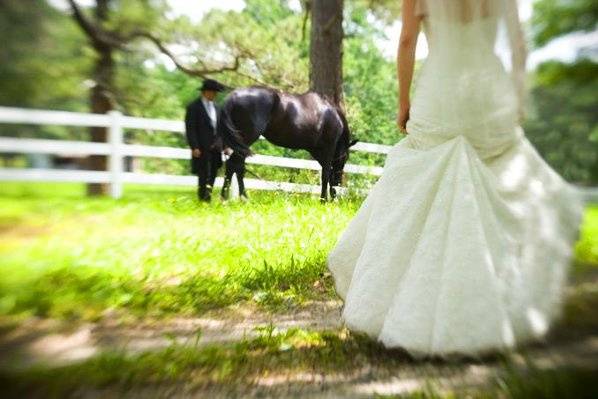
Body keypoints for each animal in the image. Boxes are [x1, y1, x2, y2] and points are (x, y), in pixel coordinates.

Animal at [217, 86, 356, 200]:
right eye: (345, 157)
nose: (338, 184)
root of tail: (233, 97)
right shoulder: (328, 148)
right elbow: (326, 174)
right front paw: (323, 200)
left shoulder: (317, 151)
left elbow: (326, 173)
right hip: (246, 139)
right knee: (235, 165)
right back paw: (236, 198)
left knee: (236, 166)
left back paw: (230, 198)